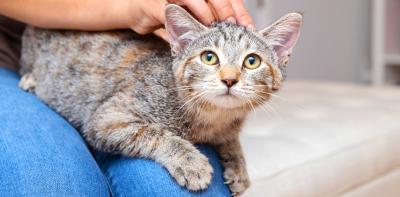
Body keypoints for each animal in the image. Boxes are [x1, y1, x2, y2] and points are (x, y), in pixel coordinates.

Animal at [18, 4, 300, 195]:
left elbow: (230, 140)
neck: (212, 117)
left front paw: (238, 165)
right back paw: (30, 79)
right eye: (209, 57)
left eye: (252, 61)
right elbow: (154, 133)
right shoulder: (107, 118)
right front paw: (190, 161)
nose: (229, 80)